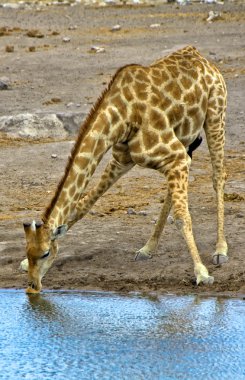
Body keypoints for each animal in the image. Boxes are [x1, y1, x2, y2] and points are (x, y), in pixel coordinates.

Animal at [22, 45, 228, 294]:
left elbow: (182, 217)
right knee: (173, 192)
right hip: (185, 140)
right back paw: (147, 249)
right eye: (28, 252)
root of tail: (201, 57)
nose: (32, 287)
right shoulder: (122, 160)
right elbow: (82, 205)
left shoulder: (175, 157)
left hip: (215, 116)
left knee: (218, 177)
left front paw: (202, 273)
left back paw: (220, 250)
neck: (122, 117)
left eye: (44, 254)